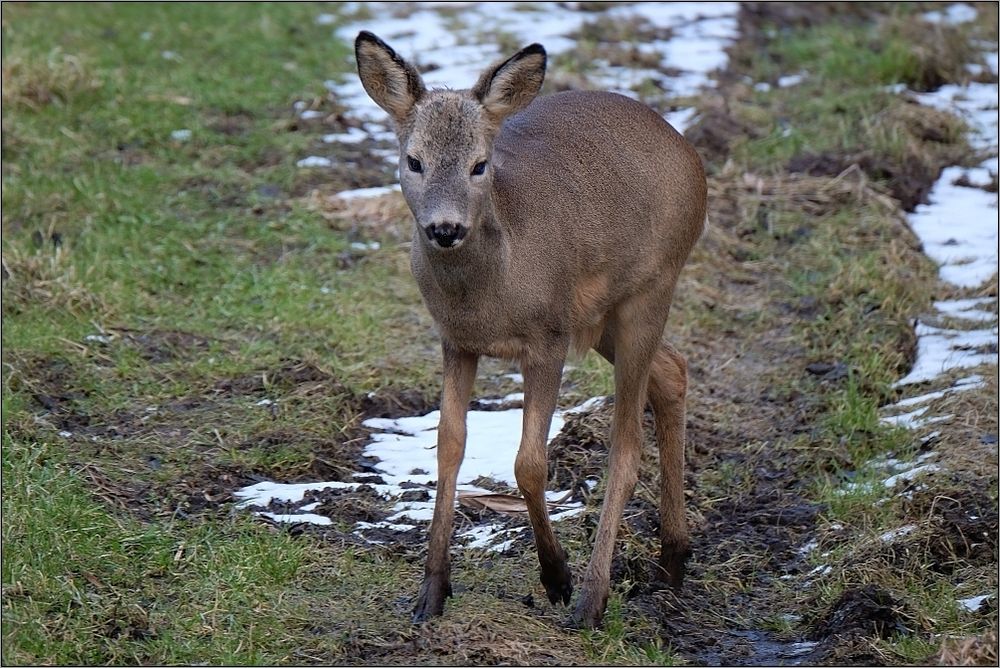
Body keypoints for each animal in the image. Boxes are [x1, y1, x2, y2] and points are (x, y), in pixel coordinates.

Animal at [356, 28, 708, 628]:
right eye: (413, 160)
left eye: (480, 164)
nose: (445, 228)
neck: (491, 292)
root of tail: (688, 151)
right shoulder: (456, 340)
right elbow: (448, 446)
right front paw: (431, 592)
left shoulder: (547, 336)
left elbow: (529, 463)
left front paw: (556, 576)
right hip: (602, 315)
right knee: (673, 371)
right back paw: (672, 559)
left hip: (651, 286)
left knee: (627, 442)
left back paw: (592, 599)